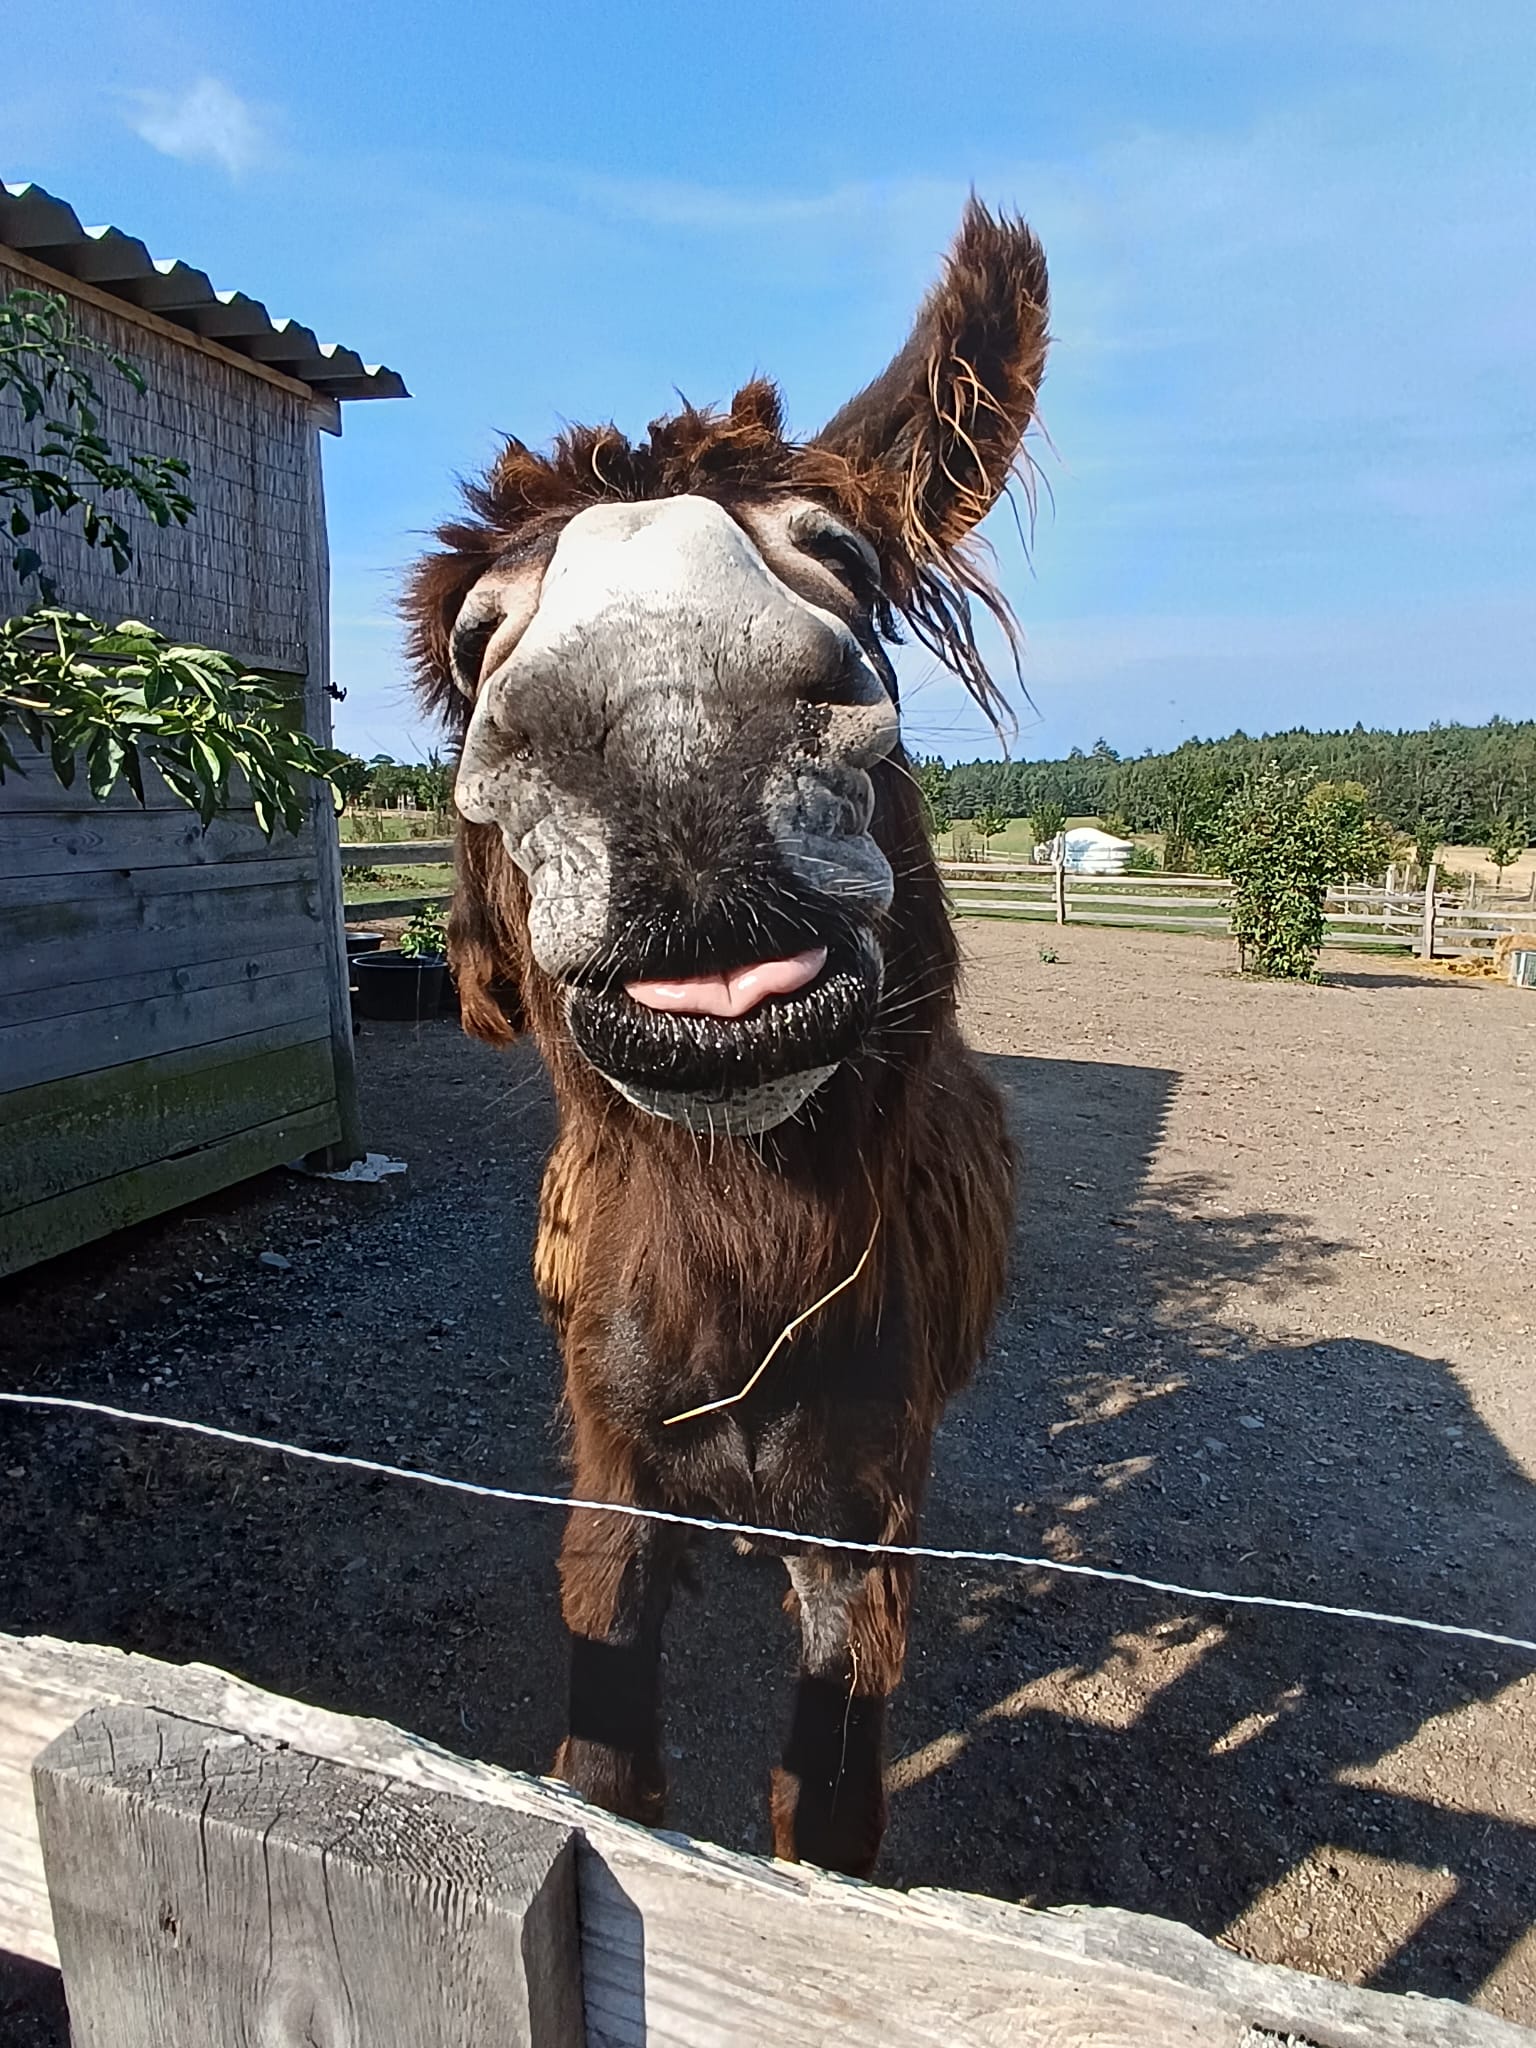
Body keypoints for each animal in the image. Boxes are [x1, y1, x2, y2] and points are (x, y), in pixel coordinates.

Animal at [405, 198, 1048, 1875]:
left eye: (844, 557)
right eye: (476, 641)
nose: (665, 715)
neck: (745, 1260)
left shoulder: (866, 1524)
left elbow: (824, 1828)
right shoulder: (615, 1484)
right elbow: (604, 1776)